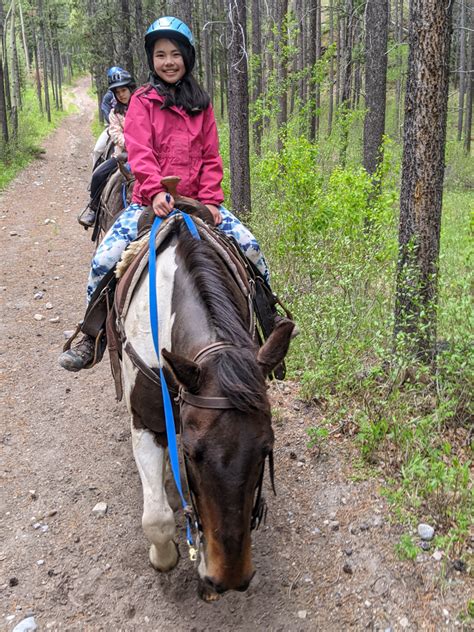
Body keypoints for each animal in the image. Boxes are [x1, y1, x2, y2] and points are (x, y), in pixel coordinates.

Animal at [120, 223, 294, 604]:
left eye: (266, 449)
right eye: (191, 453)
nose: (229, 578)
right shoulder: (144, 422)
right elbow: (156, 518)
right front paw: (164, 558)